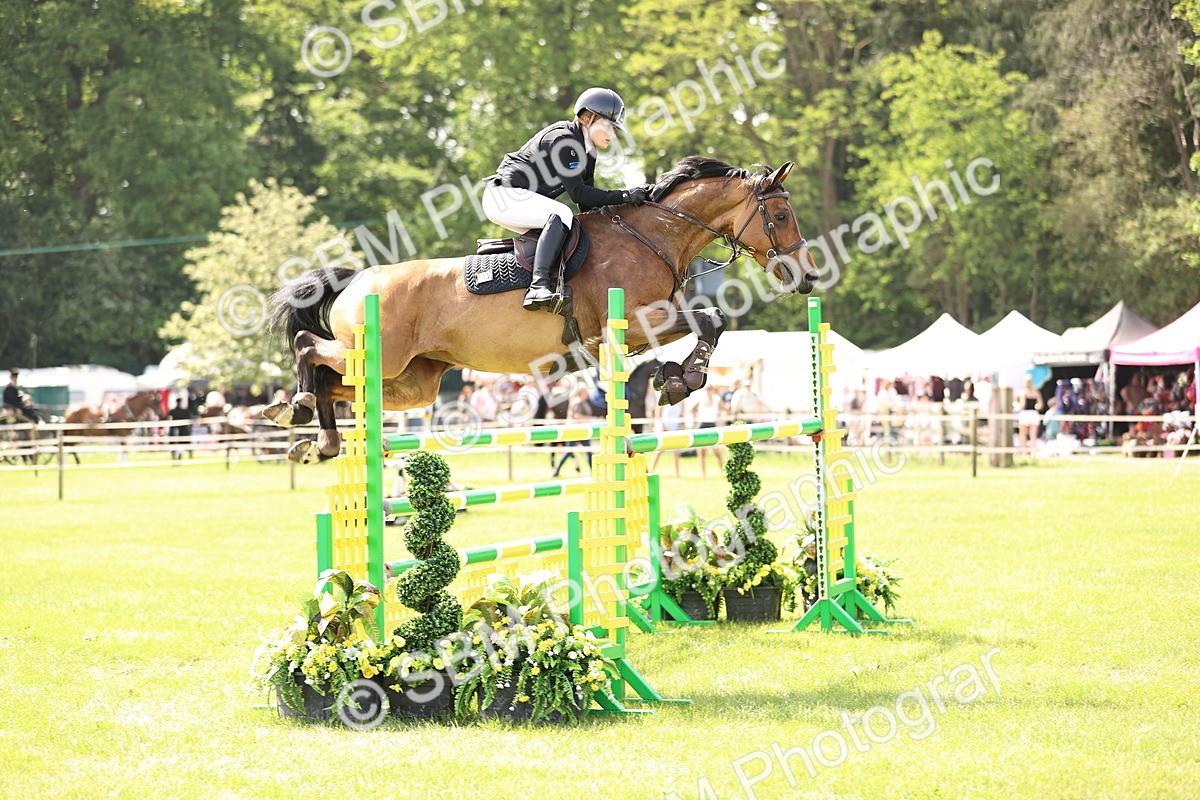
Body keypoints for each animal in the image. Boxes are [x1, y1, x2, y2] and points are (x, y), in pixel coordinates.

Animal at [264, 156, 820, 464]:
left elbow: (710, 323)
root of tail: (359, 279)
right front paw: (684, 379)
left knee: (339, 383)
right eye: (780, 215)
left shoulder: (643, 329)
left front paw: (675, 378)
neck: (653, 235)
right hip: (383, 355)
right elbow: (710, 319)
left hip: (411, 382)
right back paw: (299, 406)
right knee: (308, 346)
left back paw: (313, 429)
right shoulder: (632, 323)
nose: (809, 276)